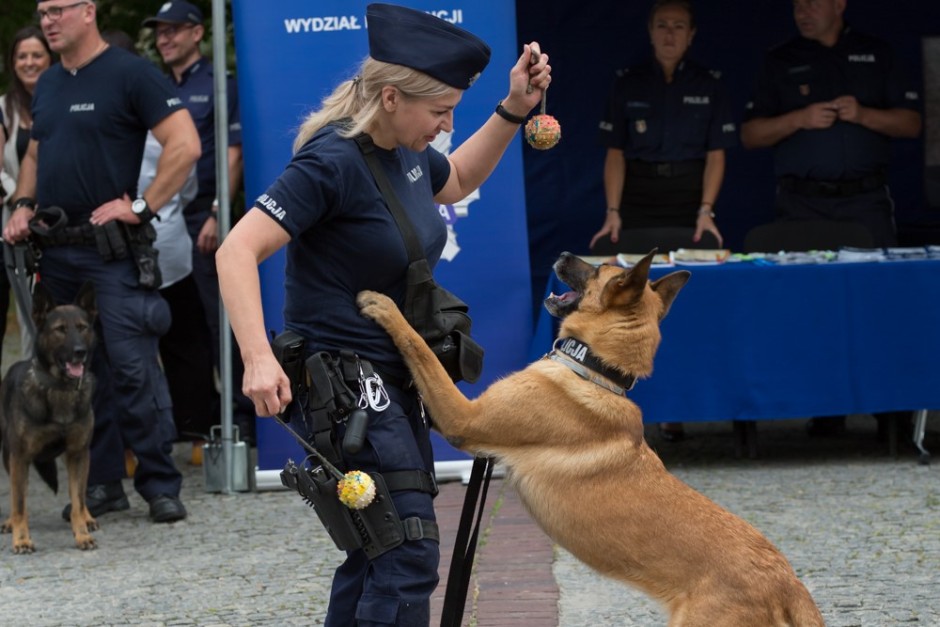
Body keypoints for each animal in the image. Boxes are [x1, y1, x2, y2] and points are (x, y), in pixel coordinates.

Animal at [356, 251, 828, 627]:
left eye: (599, 268)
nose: (563, 254)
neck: (596, 370)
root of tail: (788, 584)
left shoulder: (463, 418)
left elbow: (420, 350)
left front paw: (385, 307)